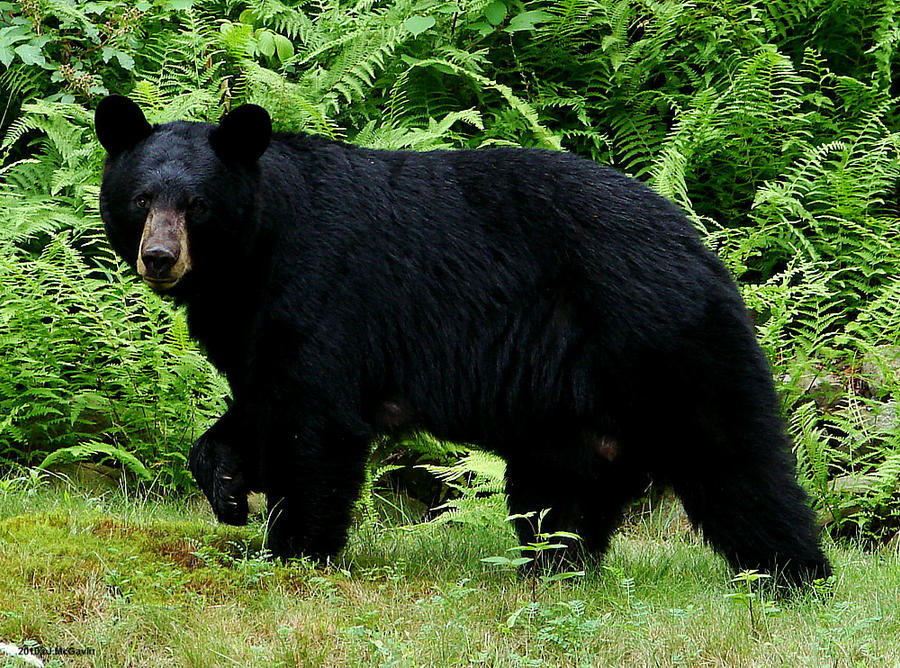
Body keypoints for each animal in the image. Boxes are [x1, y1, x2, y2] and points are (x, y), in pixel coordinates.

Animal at [95, 94, 832, 584]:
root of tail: (702, 249)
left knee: (737, 461)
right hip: (568, 413)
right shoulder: (253, 323)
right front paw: (225, 486)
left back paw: (793, 575)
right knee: (560, 493)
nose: (160, 257)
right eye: (141, 199)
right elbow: (260, 400)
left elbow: (314, 423)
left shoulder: (322, 291)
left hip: (664, 341)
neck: (251, 259)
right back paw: (551, 570)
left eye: (197, 206)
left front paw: (295, 548)